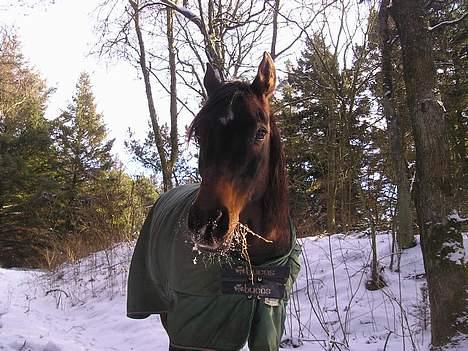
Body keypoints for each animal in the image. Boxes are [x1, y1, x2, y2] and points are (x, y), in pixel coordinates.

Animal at [126, 53, 302, 351]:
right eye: (199, 134)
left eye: (260, 132)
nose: (207, 224)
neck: (256, 265)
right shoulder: (192, 331)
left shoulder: (268, 323)